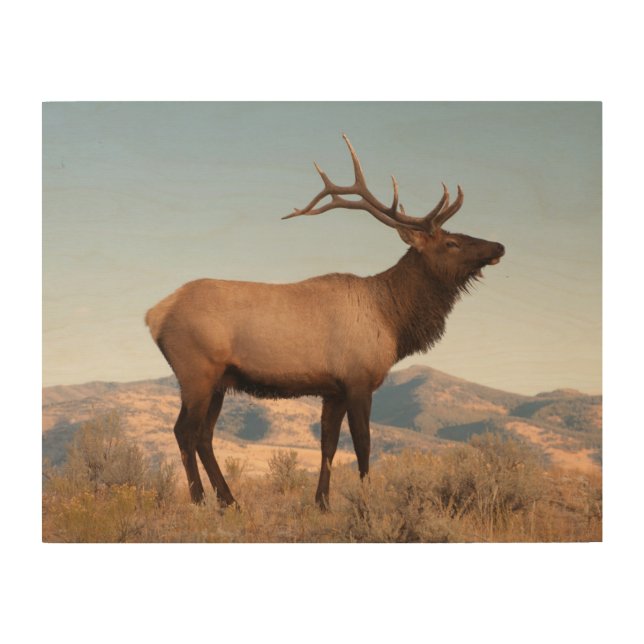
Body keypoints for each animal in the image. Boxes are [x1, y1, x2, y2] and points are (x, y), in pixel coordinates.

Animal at [145, 134, 505, 510]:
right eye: (452, 242)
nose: (499, 246)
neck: (393, 320)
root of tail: (154, 315)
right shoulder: (359, 379)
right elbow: (363, 444)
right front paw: (366, 500)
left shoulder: (333, 389)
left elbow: (328, 444)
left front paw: (323, 502)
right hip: (196, 372)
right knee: (184, 431)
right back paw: (200, 500)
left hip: (219, 381)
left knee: (204, 434)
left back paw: (229, 501)